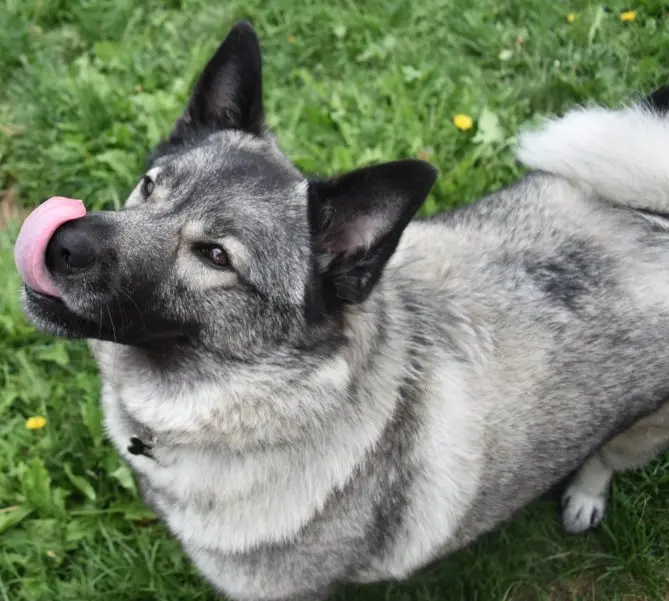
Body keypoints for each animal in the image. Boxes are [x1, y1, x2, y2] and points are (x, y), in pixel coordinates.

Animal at [13, 21, 668, 600]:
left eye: (217, 256)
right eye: (150, 185)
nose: (61, 243)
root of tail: (654, 217)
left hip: (643, 427)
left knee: (608, 456)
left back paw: (586, 495)